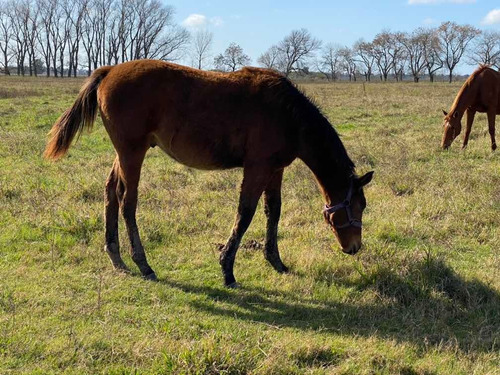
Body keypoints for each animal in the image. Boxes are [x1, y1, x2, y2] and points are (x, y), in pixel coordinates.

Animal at [45, 59, 374, 288]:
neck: (288, 114)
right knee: (128, 203)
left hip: (124, 154)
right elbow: (245, 214)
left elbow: (273, 212)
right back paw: (143, 263)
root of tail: (111, 69)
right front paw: (227, 269)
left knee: (111, 193)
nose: (354, 247)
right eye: (359, 205)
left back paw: (116, 255)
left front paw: (275, 260)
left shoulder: (275, 170)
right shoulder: (257, 169)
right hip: (132, 152)